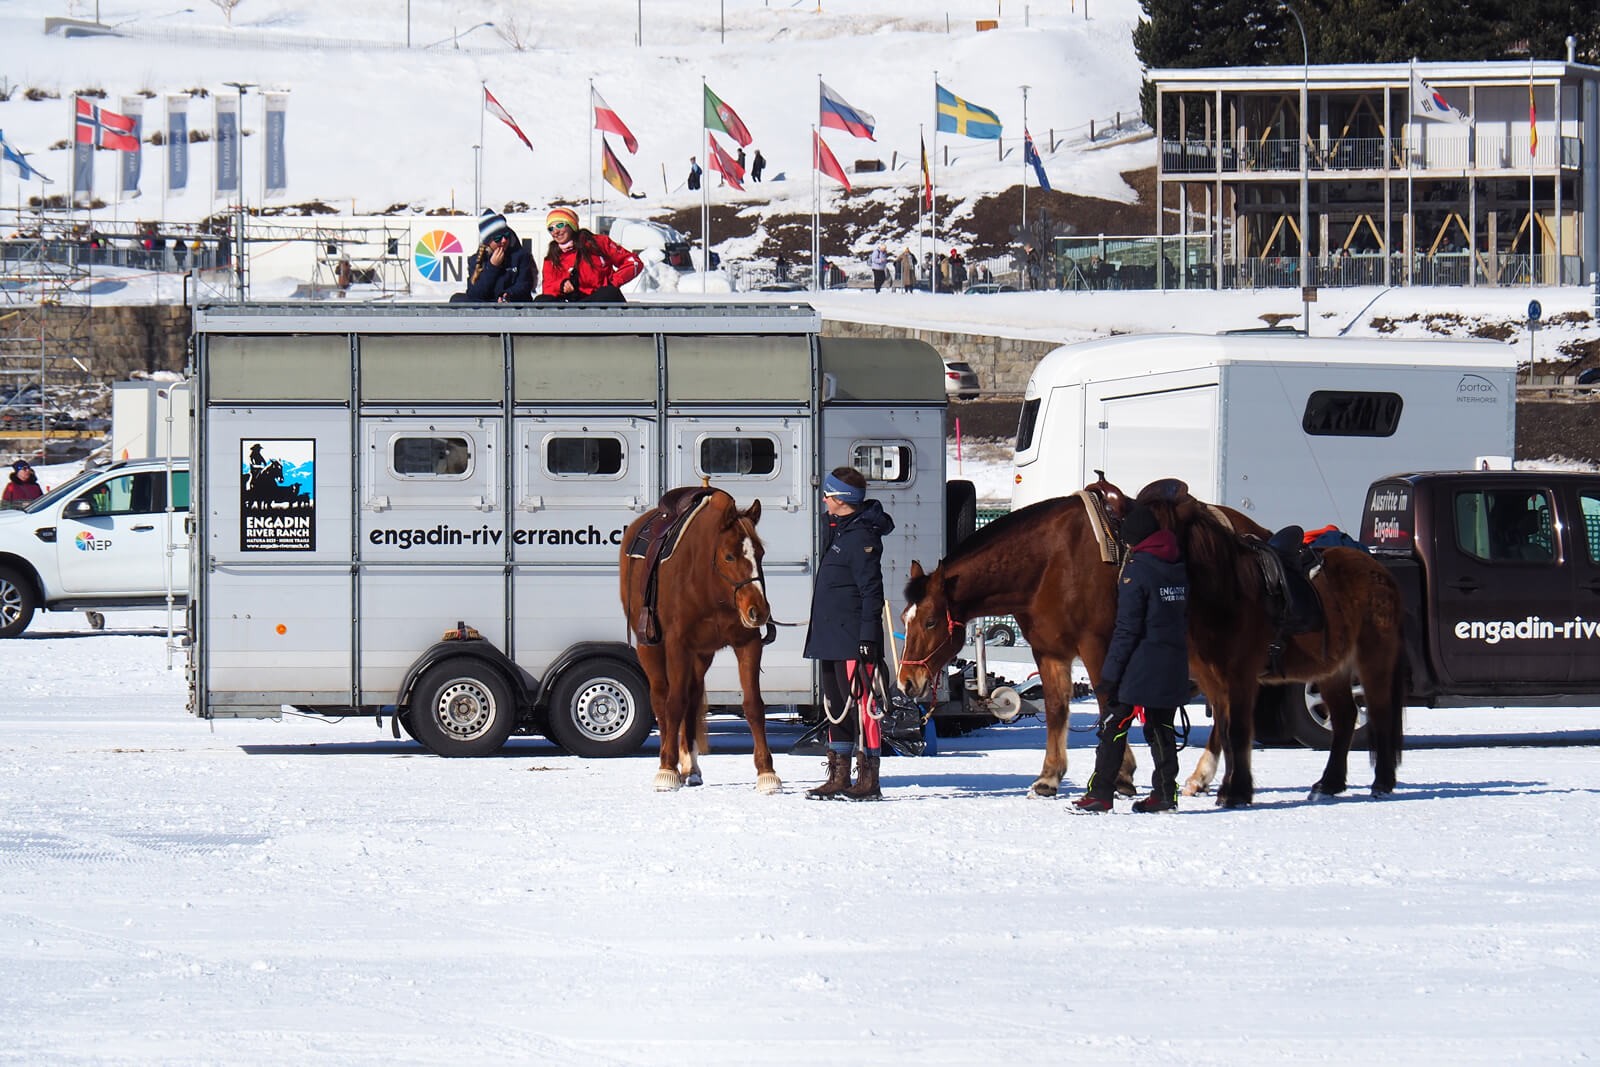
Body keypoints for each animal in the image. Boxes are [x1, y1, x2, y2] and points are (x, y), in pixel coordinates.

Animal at [617, 489, 780, 796]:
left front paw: (767, 773)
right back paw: (668, 761)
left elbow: (753, 705)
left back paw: (690, 767)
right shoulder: (677, 645)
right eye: (729, 556)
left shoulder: (747, 643)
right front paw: (667, 770)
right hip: (650, 649)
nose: (759, 611)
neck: (708, 584)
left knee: (692, 701)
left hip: (701, 656)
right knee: (662, 699)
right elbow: (673, 704)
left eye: (761, 554)